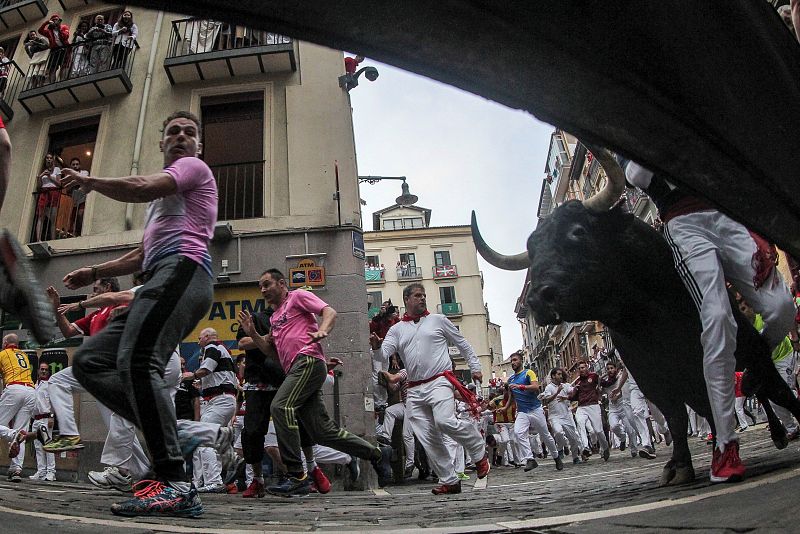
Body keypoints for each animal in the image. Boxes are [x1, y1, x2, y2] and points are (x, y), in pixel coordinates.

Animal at [476, 203, 800, 488]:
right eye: (532, 251)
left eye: (578, 231)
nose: (538, 299)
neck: (647, 316)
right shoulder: (651, 374)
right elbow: (677, 415)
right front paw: (679, 466)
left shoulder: (727, 352)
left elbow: (775, 390)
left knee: (763, 389)